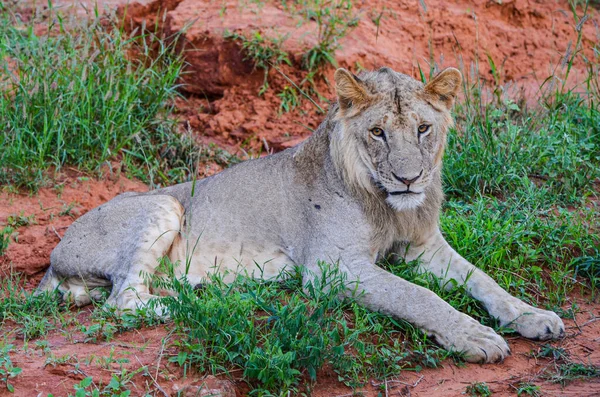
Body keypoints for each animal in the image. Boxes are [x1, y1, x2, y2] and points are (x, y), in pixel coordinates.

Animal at [37, 67, 564, 362]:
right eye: (377, 132)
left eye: (422, 128)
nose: (409, 179)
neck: (388, 206)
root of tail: (53, 256)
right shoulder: (332, 269)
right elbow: (418, 296)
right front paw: (475, 337)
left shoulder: (422, 246)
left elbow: (485, 280)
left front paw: (533, 316)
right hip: (163, 203)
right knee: (124, 299)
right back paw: (202, 303)